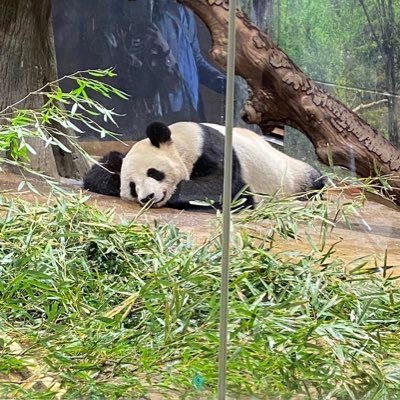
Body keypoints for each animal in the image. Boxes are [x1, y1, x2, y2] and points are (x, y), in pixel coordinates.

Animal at [83, 121, 324, 209]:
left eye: (154, 173)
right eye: (132, 187)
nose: (147, 197)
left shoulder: (213, 149)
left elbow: (230, 189)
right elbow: (99, 171)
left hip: (292, 173)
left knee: (315, 180)